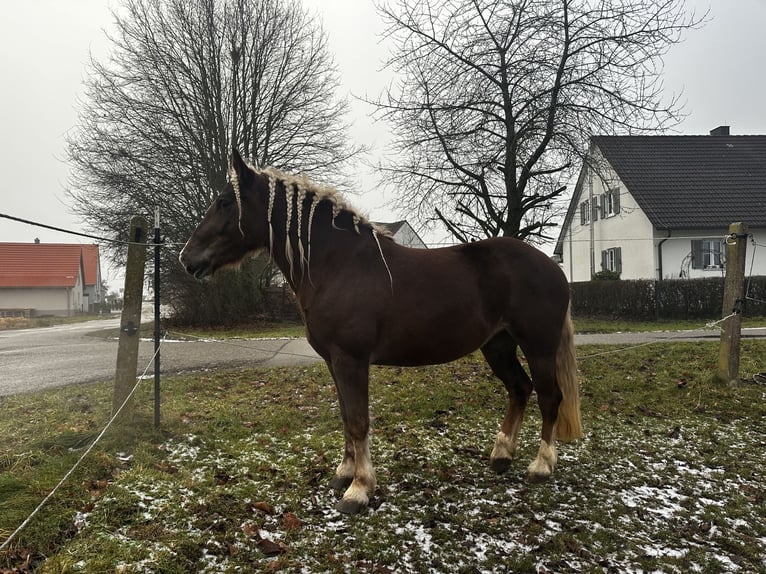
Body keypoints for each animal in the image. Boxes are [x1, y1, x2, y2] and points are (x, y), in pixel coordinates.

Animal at [180, 151, 584, 516]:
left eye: (224, 202)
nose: (187, 258)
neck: (337, 264)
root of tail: (552, 266)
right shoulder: (334, 362)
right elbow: (346, 416)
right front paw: (343, 475)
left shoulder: (351, 360)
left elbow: (359, 422)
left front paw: (358, 491)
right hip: (497, 346)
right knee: (520, 389)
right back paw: (501, 456)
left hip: (538, 346)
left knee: (549, 397)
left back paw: (540, 466)